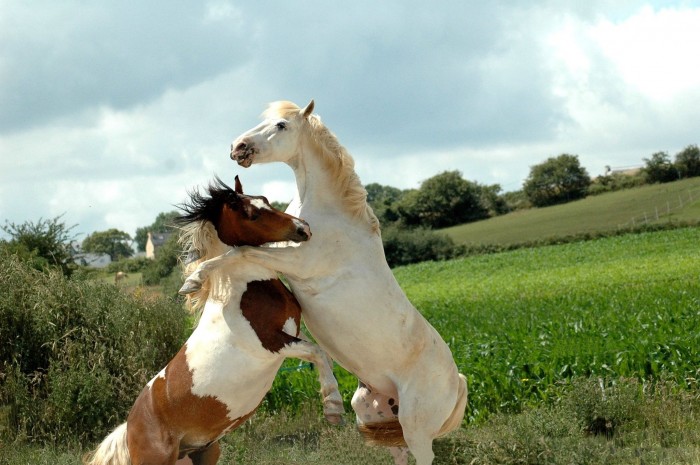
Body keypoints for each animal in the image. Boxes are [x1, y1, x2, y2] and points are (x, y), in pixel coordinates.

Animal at [84, 175, 342, 464]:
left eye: (264, 200)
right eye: (252, 214)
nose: (303, 228)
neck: (243, 288)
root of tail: (129, 428)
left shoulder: (293, 333)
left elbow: (322, 354)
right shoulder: (272, 343)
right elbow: (317, 352)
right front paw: (333, 407)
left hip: (206, 451)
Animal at [180, 99, 468, 462]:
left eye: (281, 125)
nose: (237, 147)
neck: (331, 214)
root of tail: (457, 381)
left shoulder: (298, 261)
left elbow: (241, 252)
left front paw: (193, 281)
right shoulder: (283, 242)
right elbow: (243, 250)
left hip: (417, 429)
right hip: (373, 409)